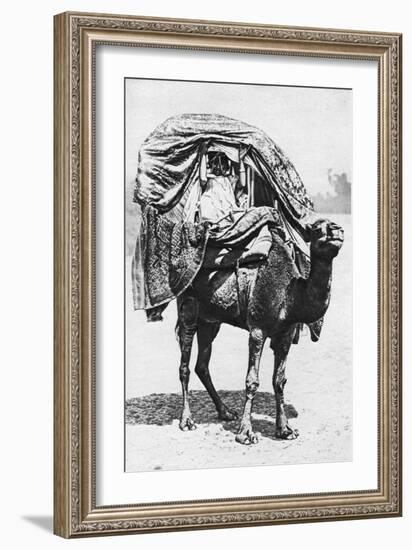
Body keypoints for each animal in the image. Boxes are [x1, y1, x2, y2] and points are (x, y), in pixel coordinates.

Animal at [175, 218, 344, 446]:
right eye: (317, 228)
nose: (337, 229)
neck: (291, 295)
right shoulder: (257, 329)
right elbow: (252, 381)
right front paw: (246, 433)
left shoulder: (285, 335)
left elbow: (279, 381)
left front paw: (285, 430)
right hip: (189, 307)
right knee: (185, 363)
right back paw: (187, 421)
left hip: (210, 321)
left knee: (202, 365)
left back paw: (225, 412)